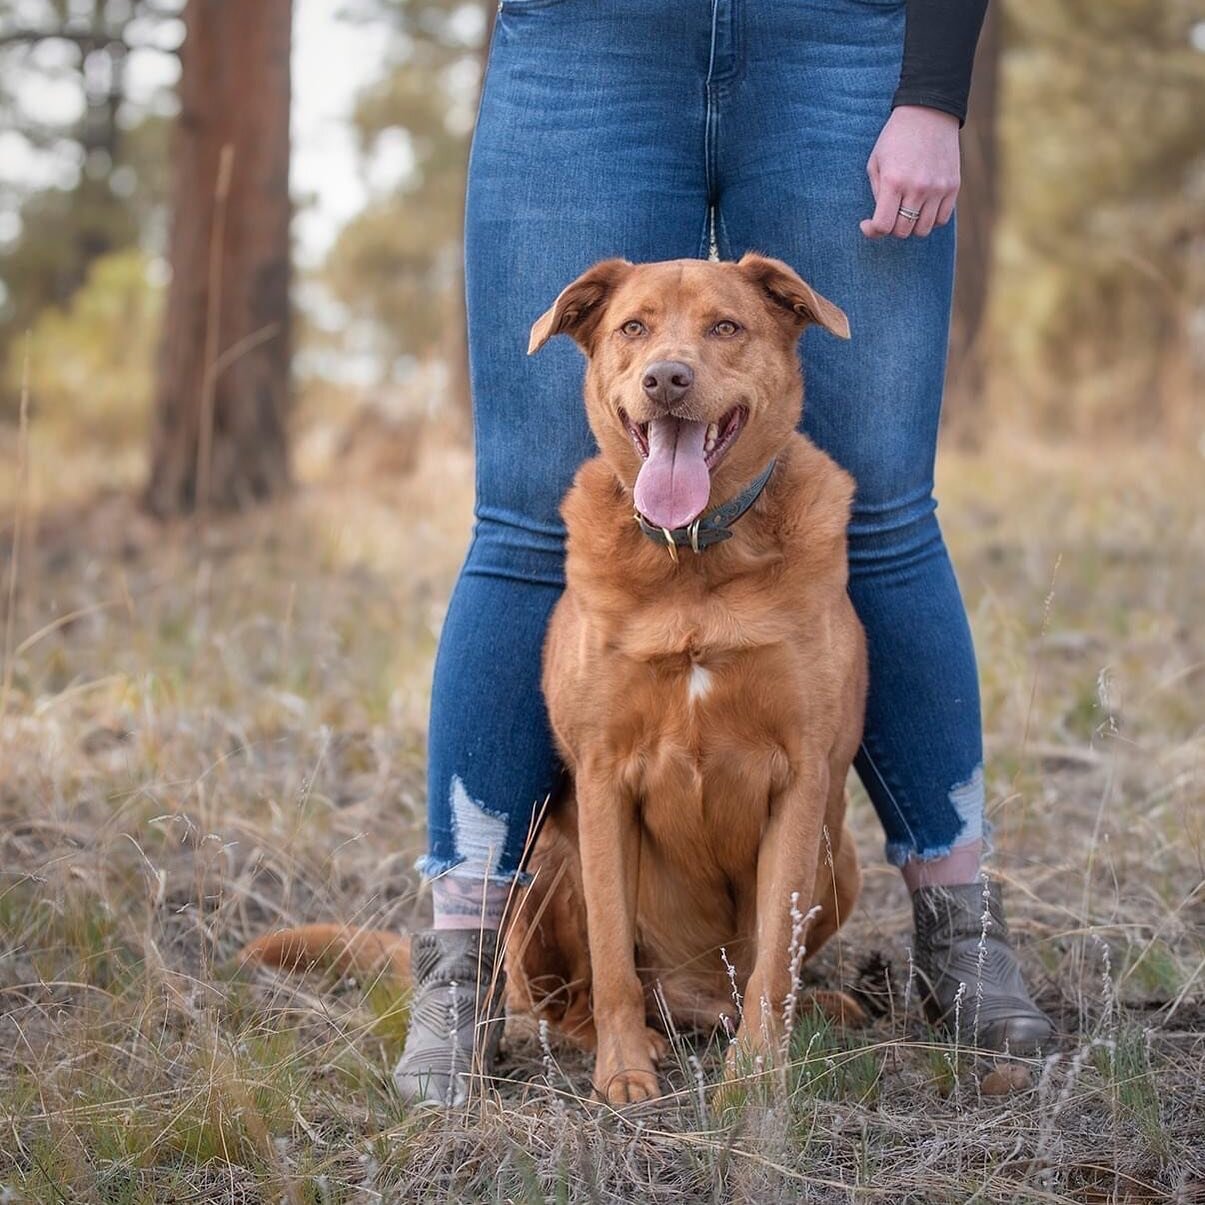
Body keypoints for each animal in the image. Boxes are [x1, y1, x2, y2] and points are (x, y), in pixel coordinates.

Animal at [242, 254, 867, 1103]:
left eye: (726, 327)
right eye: (633, 327)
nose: (666, 378)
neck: (693, 563)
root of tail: (700, 999)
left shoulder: (802, 781)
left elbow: (775, 954)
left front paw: (758, 1075)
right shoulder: (604, 778)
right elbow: (610, 951)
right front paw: (623, 1070)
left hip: (841, 855)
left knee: (762, 975)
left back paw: (814, 1010)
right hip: (542, 865)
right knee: (560, 998)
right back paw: (619, 1035)